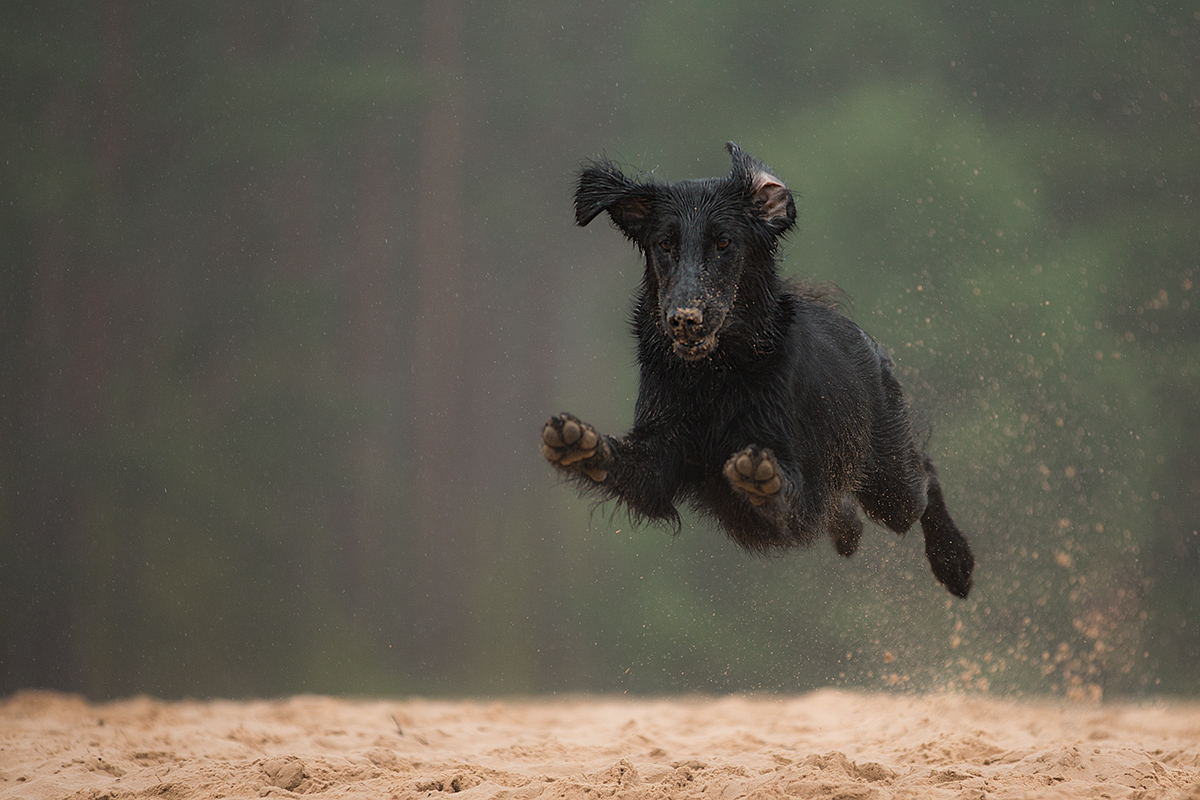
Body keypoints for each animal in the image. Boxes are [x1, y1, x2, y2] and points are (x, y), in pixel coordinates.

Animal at [544, 143, 974, 597]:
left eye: (724, 242)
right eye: (664, 243)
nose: (684, 319)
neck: (714, 376)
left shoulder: (795, 469)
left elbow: (785, 489)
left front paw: (760, 477)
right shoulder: (661, 452)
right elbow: (627, 462)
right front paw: (580, 442)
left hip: (889, 481)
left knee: (924, 475)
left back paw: (955, 563)